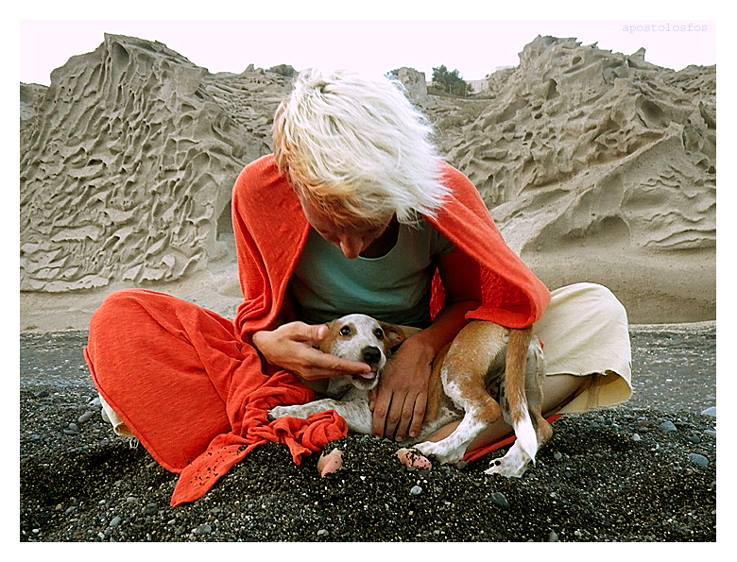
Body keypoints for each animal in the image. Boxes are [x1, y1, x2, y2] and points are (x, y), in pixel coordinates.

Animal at [268, 313, 551, 477]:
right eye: (344, 331)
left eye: (379, 333)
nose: (373, 353)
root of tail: (518, 326)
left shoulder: (368, 416)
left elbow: (325, 403)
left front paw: (284, 411)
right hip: (514, 390)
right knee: (541, 428)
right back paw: (508, 465)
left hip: (455, 371)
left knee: (484, 409)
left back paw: (434, 449)